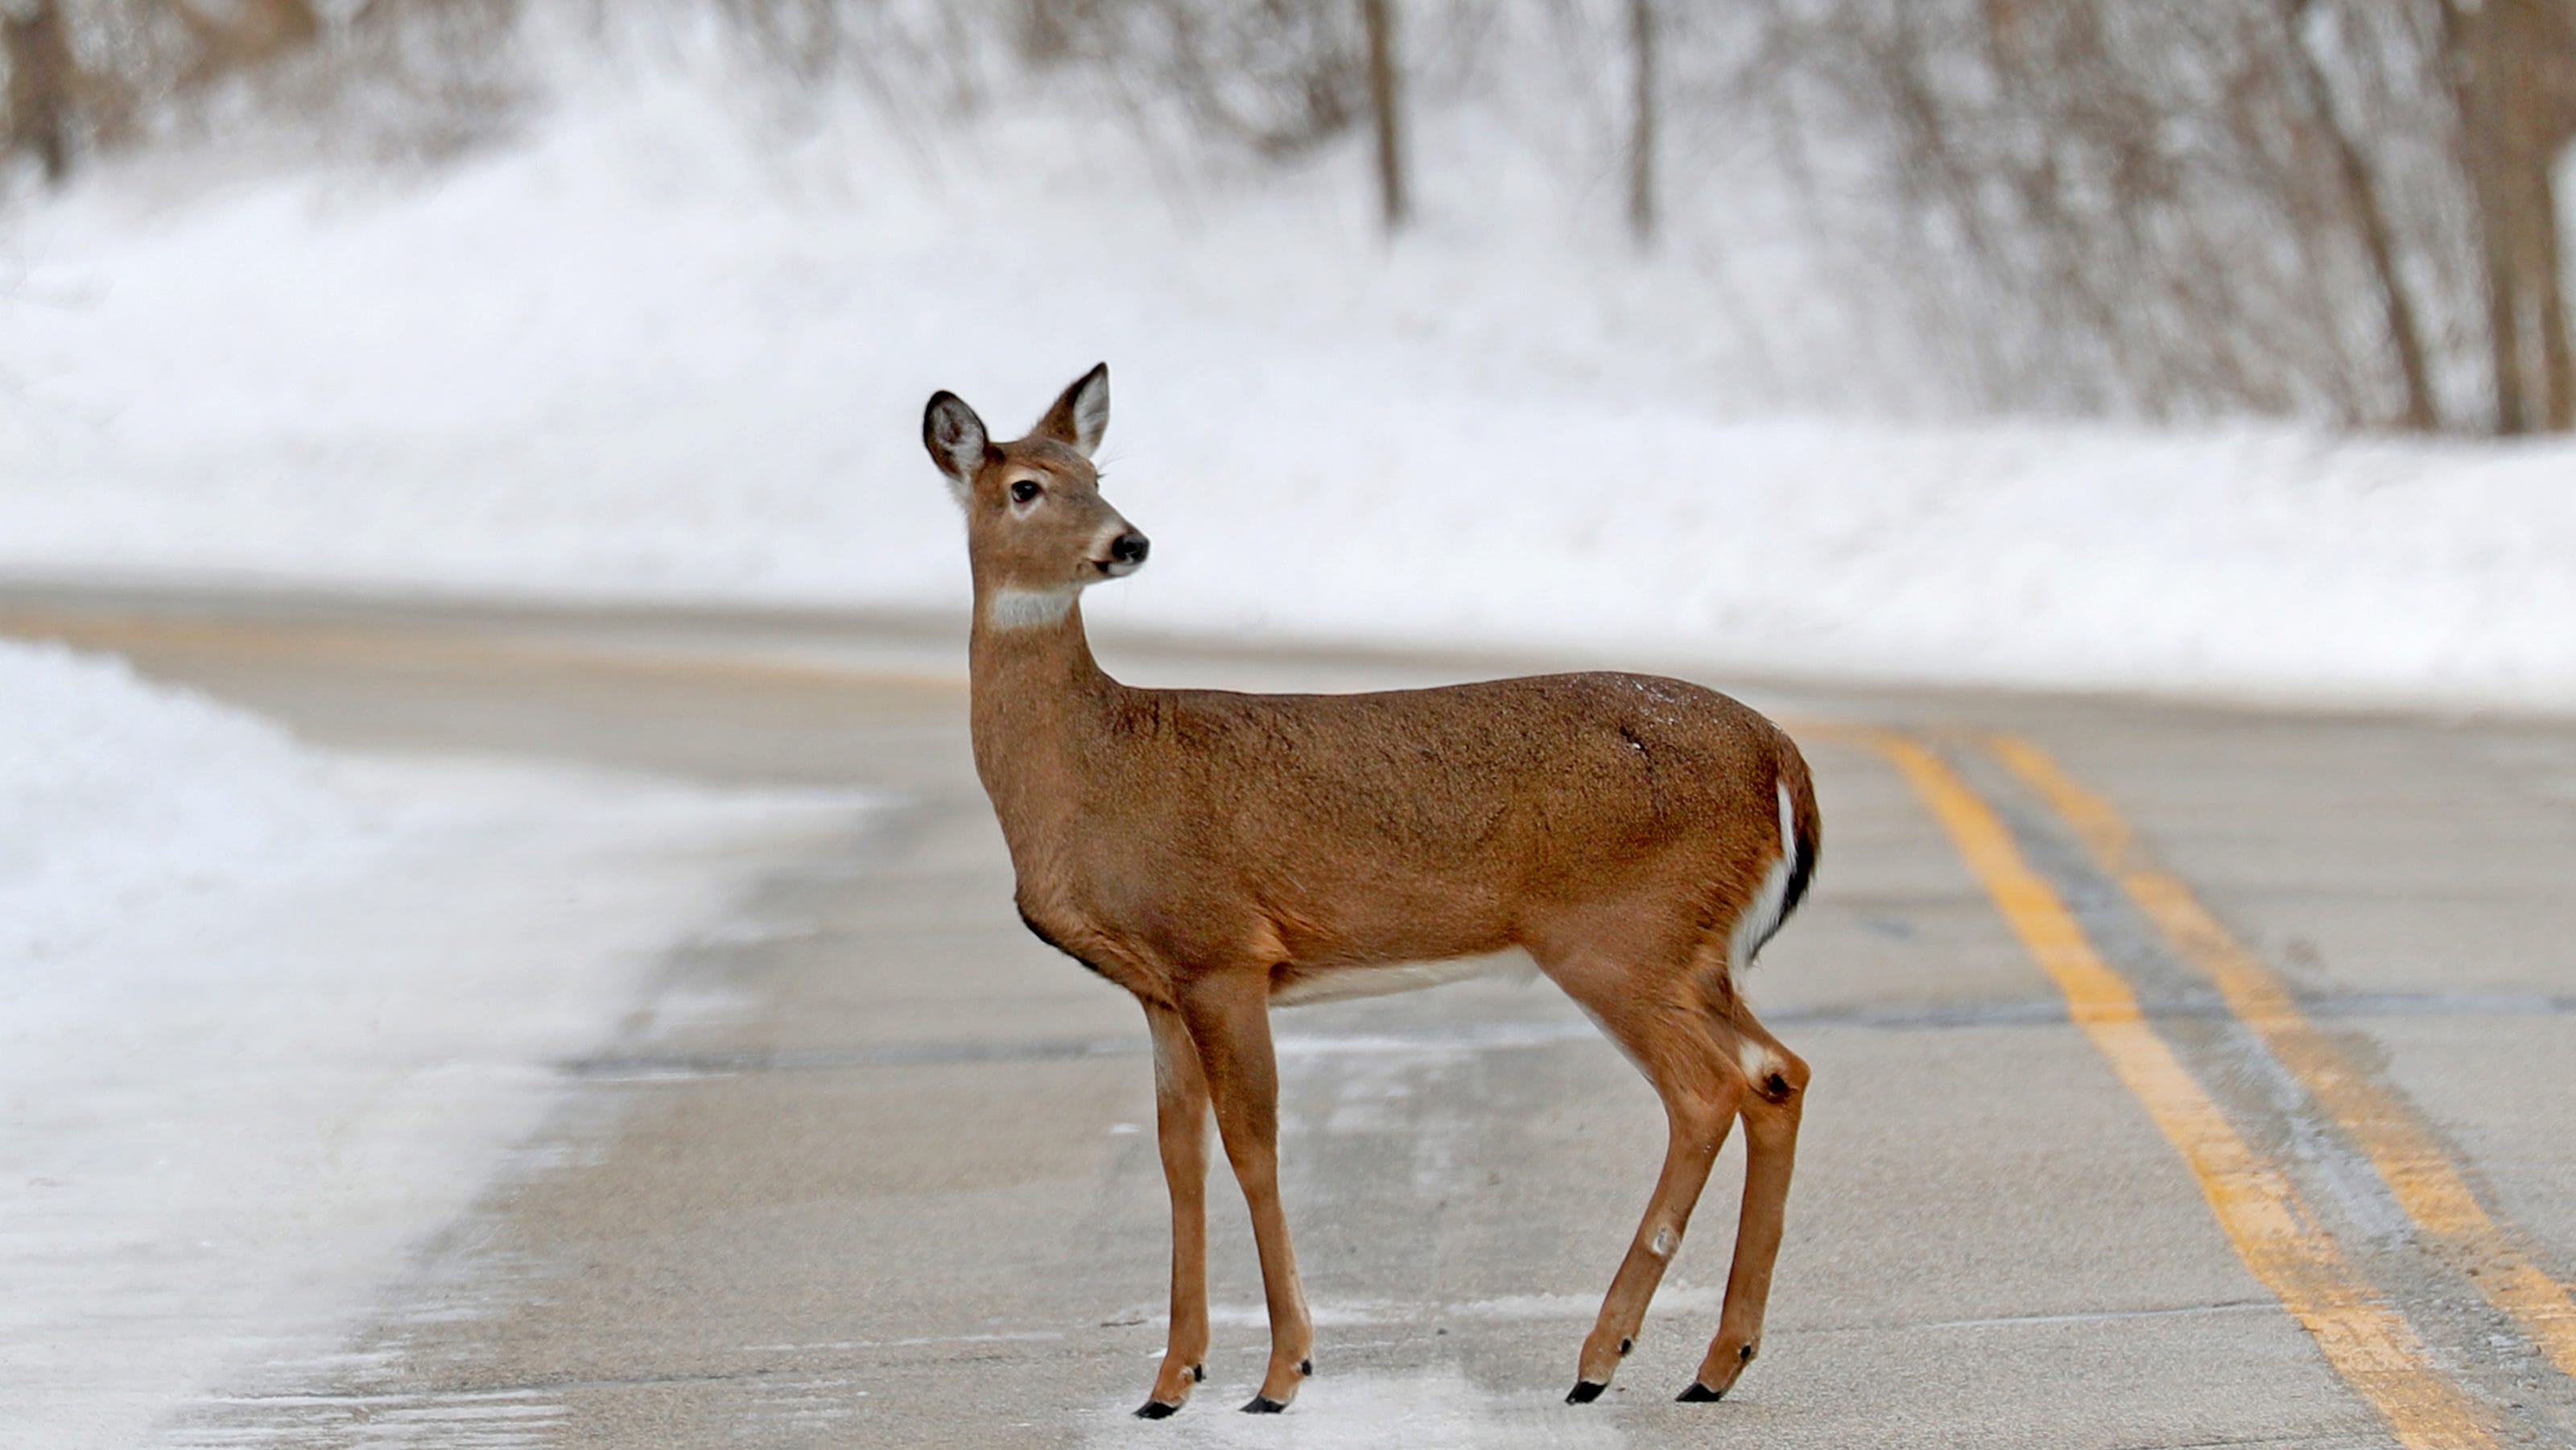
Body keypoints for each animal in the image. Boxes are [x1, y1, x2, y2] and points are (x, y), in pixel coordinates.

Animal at [917, 363, 1823, 1421]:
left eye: (1096, 475)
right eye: (1026, 486)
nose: (1127, 541)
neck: (1092, 773)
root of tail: (1780, 756)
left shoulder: (1223, 950)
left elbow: (1253, 1146)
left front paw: (1280, 1375)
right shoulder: (1159, 985)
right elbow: (1179, 1156)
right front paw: (1170, 1381)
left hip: (1618, 939)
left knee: (1708, 1089)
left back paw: (1602, 1356)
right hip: (1693, 950)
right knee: (1778, 1072)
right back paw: (1715, 1361)